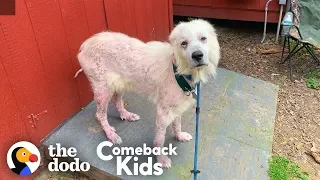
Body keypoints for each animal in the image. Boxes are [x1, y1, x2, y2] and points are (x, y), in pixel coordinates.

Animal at [77, 19, 220, 168]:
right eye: (184, 43)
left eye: (203, 38)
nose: (197, 55)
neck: (177, 69)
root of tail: (86, 45)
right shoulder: (163, 112)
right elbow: (160, 139)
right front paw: (161, 159)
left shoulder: (177, 107)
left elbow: (177, 124)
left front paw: (179, 136)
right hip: (103, 91)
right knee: (100, 115)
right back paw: (110, 134)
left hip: (119, 85)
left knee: (117, 102)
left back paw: (126, 115)